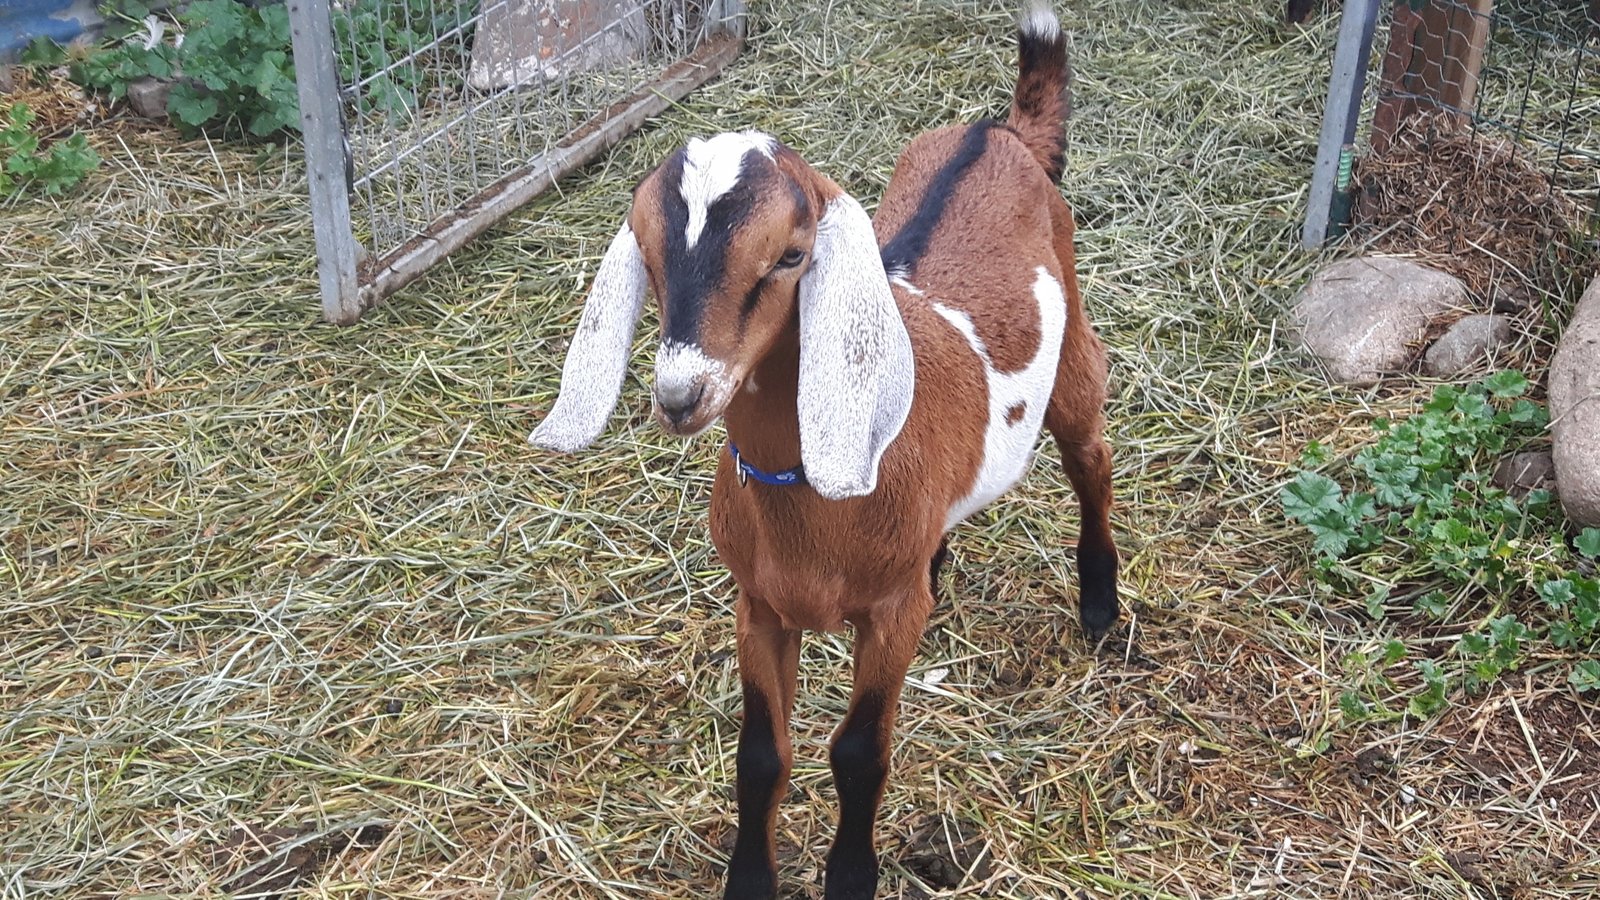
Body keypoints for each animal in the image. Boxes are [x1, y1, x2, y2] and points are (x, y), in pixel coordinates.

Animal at [530, 3, 1118, 896]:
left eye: (790, 255)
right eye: (650, 257)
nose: (681, 396)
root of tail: (1000, 130)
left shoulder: (891, 616)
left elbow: (860, 752)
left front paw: (849, 876)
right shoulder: (759, 605)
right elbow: (761, 755)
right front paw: (750, 879)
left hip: (1075, 350)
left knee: (1092, 460)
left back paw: (1102, 605)